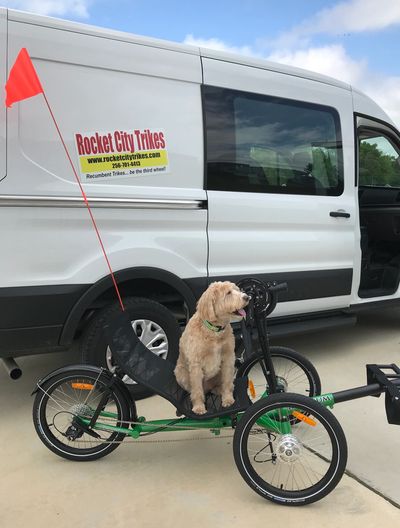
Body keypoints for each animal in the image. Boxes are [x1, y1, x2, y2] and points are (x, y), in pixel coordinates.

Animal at [173, 282, 248, 414]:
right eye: (228, 293)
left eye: (237, 290)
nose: (247, 297)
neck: (214, 331)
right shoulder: (196, 365)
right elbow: (197, 389)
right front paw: (199, 407)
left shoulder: (228, 357)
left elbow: (227, 381)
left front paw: (227, 399)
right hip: (180, 373)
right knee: (195, 389)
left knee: (217, 386)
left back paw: (219, 390)